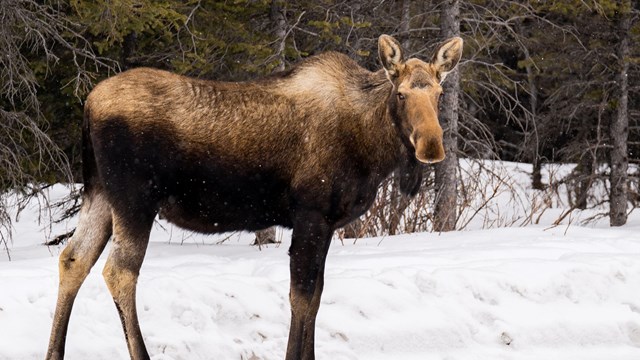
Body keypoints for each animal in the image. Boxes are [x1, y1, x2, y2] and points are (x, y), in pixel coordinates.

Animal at [47, 34, 462, 360]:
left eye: (440, 93)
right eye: (401, 93)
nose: (431, 146)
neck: (372, 147)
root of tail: (88, 103)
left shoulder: (328, 222)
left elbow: (316, 297)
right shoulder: (311, 214)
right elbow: (301, 297)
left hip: (100, 193)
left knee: (73, 259)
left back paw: (54, 353)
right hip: (135, 200)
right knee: (118, 271)